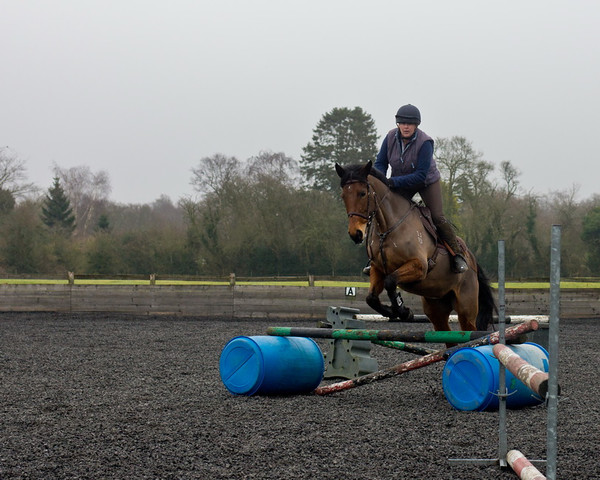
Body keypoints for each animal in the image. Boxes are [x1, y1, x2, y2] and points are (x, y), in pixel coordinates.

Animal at [336, 159, 494, 336]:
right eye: (343, 196)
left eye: (362, 193)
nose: (355, 233)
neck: (388, 228)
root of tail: (471, 260)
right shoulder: (377, 268)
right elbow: (371, 298)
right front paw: (392, 311)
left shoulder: (419, 266)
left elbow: (390, 281)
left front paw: (402, 311)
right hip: (436, 307)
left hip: (466, 308)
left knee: (468, 329)